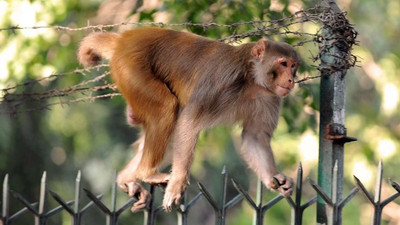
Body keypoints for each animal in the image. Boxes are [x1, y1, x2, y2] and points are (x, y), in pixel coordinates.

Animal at [76, 27, 298, 212]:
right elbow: (189, 122)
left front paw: (275, 177)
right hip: (131, 67)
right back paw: (147, 173)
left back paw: (127, 178)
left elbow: (255, 137)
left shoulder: (270, 98)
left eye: (293, 66)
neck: (252, 80)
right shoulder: (222, 83)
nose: (291, 79)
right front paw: (177, 184)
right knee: (166, 110)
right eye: (283, 64)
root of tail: (126, 37)